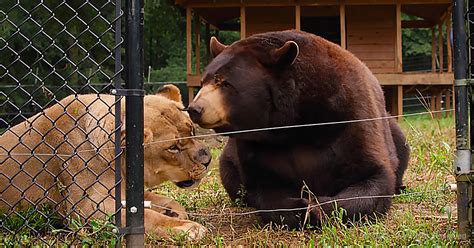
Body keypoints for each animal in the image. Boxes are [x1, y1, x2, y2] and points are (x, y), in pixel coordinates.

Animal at [0, 85, 209, 240]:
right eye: (173, 148)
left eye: (192, 130)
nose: (208, 160)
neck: (122, 167)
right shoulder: (85, 209)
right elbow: (148, 216)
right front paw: (187, 228)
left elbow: (162, 201)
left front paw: (174, 212)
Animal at [187, 30, 410, 228]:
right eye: (204, 81)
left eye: (225, 83)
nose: (194, 109)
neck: (292, 125)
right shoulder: (255, 145)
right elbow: (266, 187)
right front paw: (299, 208)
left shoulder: (351, 117)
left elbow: (374, 176)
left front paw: (320, 208)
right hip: (228, 159)